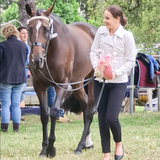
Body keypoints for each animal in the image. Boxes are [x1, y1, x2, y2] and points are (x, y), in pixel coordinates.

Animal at [25, 2, 97, 159]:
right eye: (29, 28)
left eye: (46, 29)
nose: (37, 60)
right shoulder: (39, 86)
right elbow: (44, 115)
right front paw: (44, 149)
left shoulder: (62, 85)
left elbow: (53, 112)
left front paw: (51, 148)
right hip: (77, 82)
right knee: (84, 104)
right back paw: (86, 143)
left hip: (92, 79)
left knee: (89, 110)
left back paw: (79, 146)